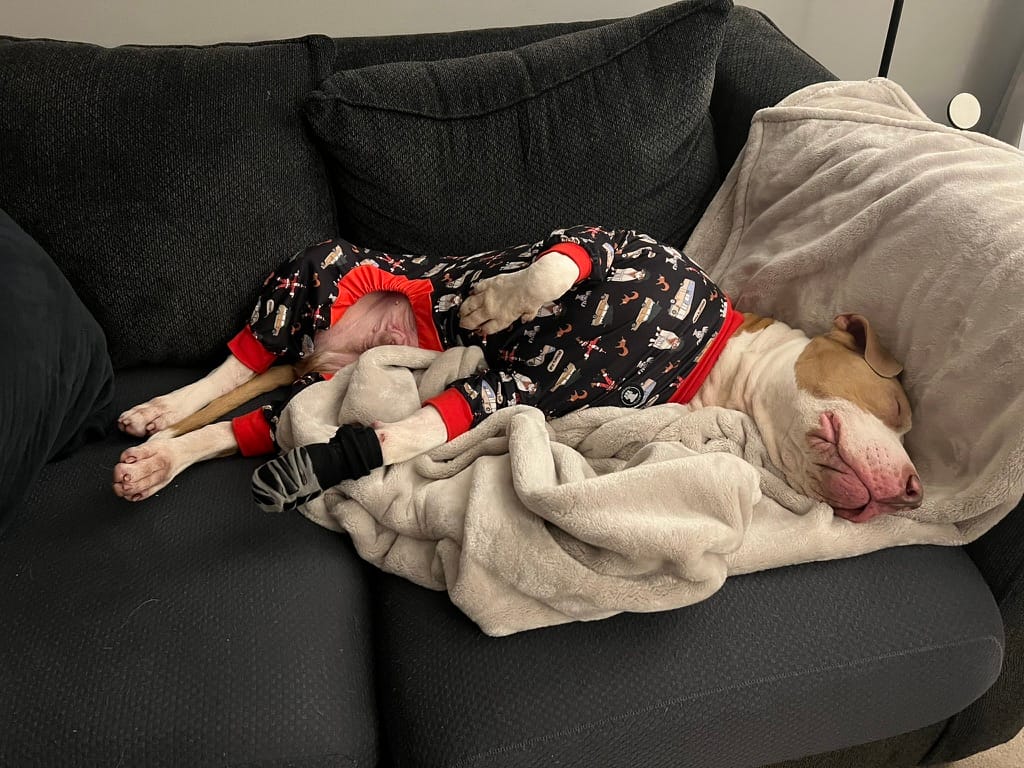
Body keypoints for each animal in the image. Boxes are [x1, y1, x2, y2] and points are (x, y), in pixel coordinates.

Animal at [112, 225, 921, 528]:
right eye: (899, 405)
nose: (914, 491)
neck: (702, 357)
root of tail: (314, 357)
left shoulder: (518, 389)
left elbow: (406, 431)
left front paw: (323, 461)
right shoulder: (615, 243)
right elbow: (557, 264)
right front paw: (493, 304)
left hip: (306, 379)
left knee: (245, 421)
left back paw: (157, 453)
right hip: (312, 277)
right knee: (233, 363)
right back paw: (160, 409)